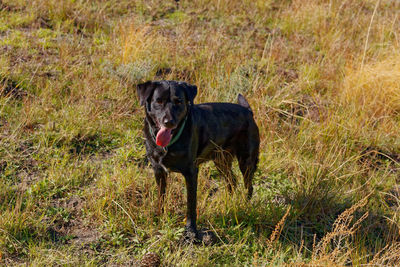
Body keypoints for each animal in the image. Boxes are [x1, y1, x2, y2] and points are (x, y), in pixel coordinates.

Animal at [137, 80, 260, 242]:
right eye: (158, 101)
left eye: (179, 101)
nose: (169, 122)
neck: (169, 144)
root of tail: (248, 111)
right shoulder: (158, 170)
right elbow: (161, 198)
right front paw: (161, 219)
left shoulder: (191, 172)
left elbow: (191, 205)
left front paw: (191, 232)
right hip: (220, 161)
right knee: (232, 181)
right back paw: (228, 202)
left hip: (246, 161)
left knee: (248, 186)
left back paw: (245, 205)